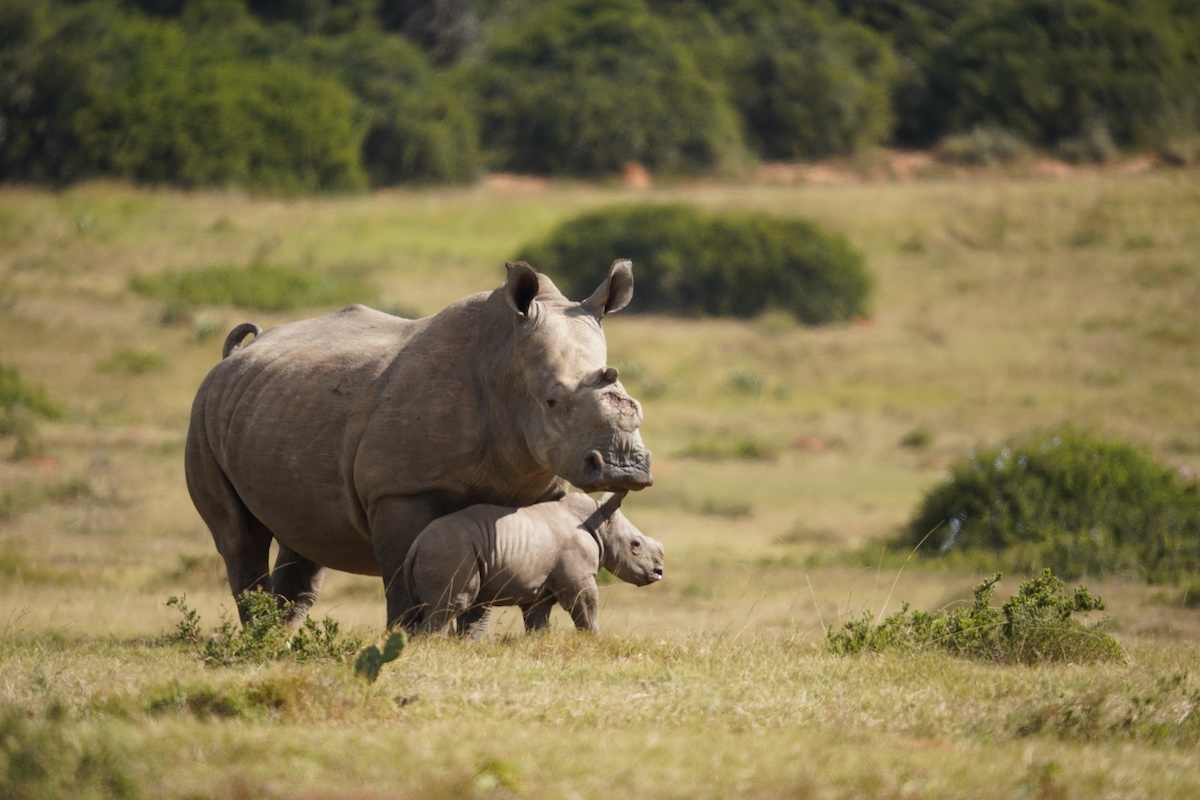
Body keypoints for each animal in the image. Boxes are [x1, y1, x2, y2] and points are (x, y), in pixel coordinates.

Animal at [187, 260, 652, 628]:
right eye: (553, 402)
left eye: (637, 404)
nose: (625, 469)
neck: (504, 369)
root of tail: (235, 356)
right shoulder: (398, 491)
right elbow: (403, 581)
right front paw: (405, 639)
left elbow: (494, 573)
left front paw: (468, 642)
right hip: (204, 410)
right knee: (239, 537)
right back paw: (258, 637)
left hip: (277, 403)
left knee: (304, 536)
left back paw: (279, 640)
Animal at [400, 489, 667, 638]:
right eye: (636, 545)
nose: (659, 572)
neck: (598, 523)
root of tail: (416, 543)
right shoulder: (578, 577)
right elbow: (586, 608)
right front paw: (594, 640)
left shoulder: (540, 589)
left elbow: (537, 620)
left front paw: (538, 643)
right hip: (451, 550)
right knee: (454, 603)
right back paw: (435, 644)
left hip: (446, 549)